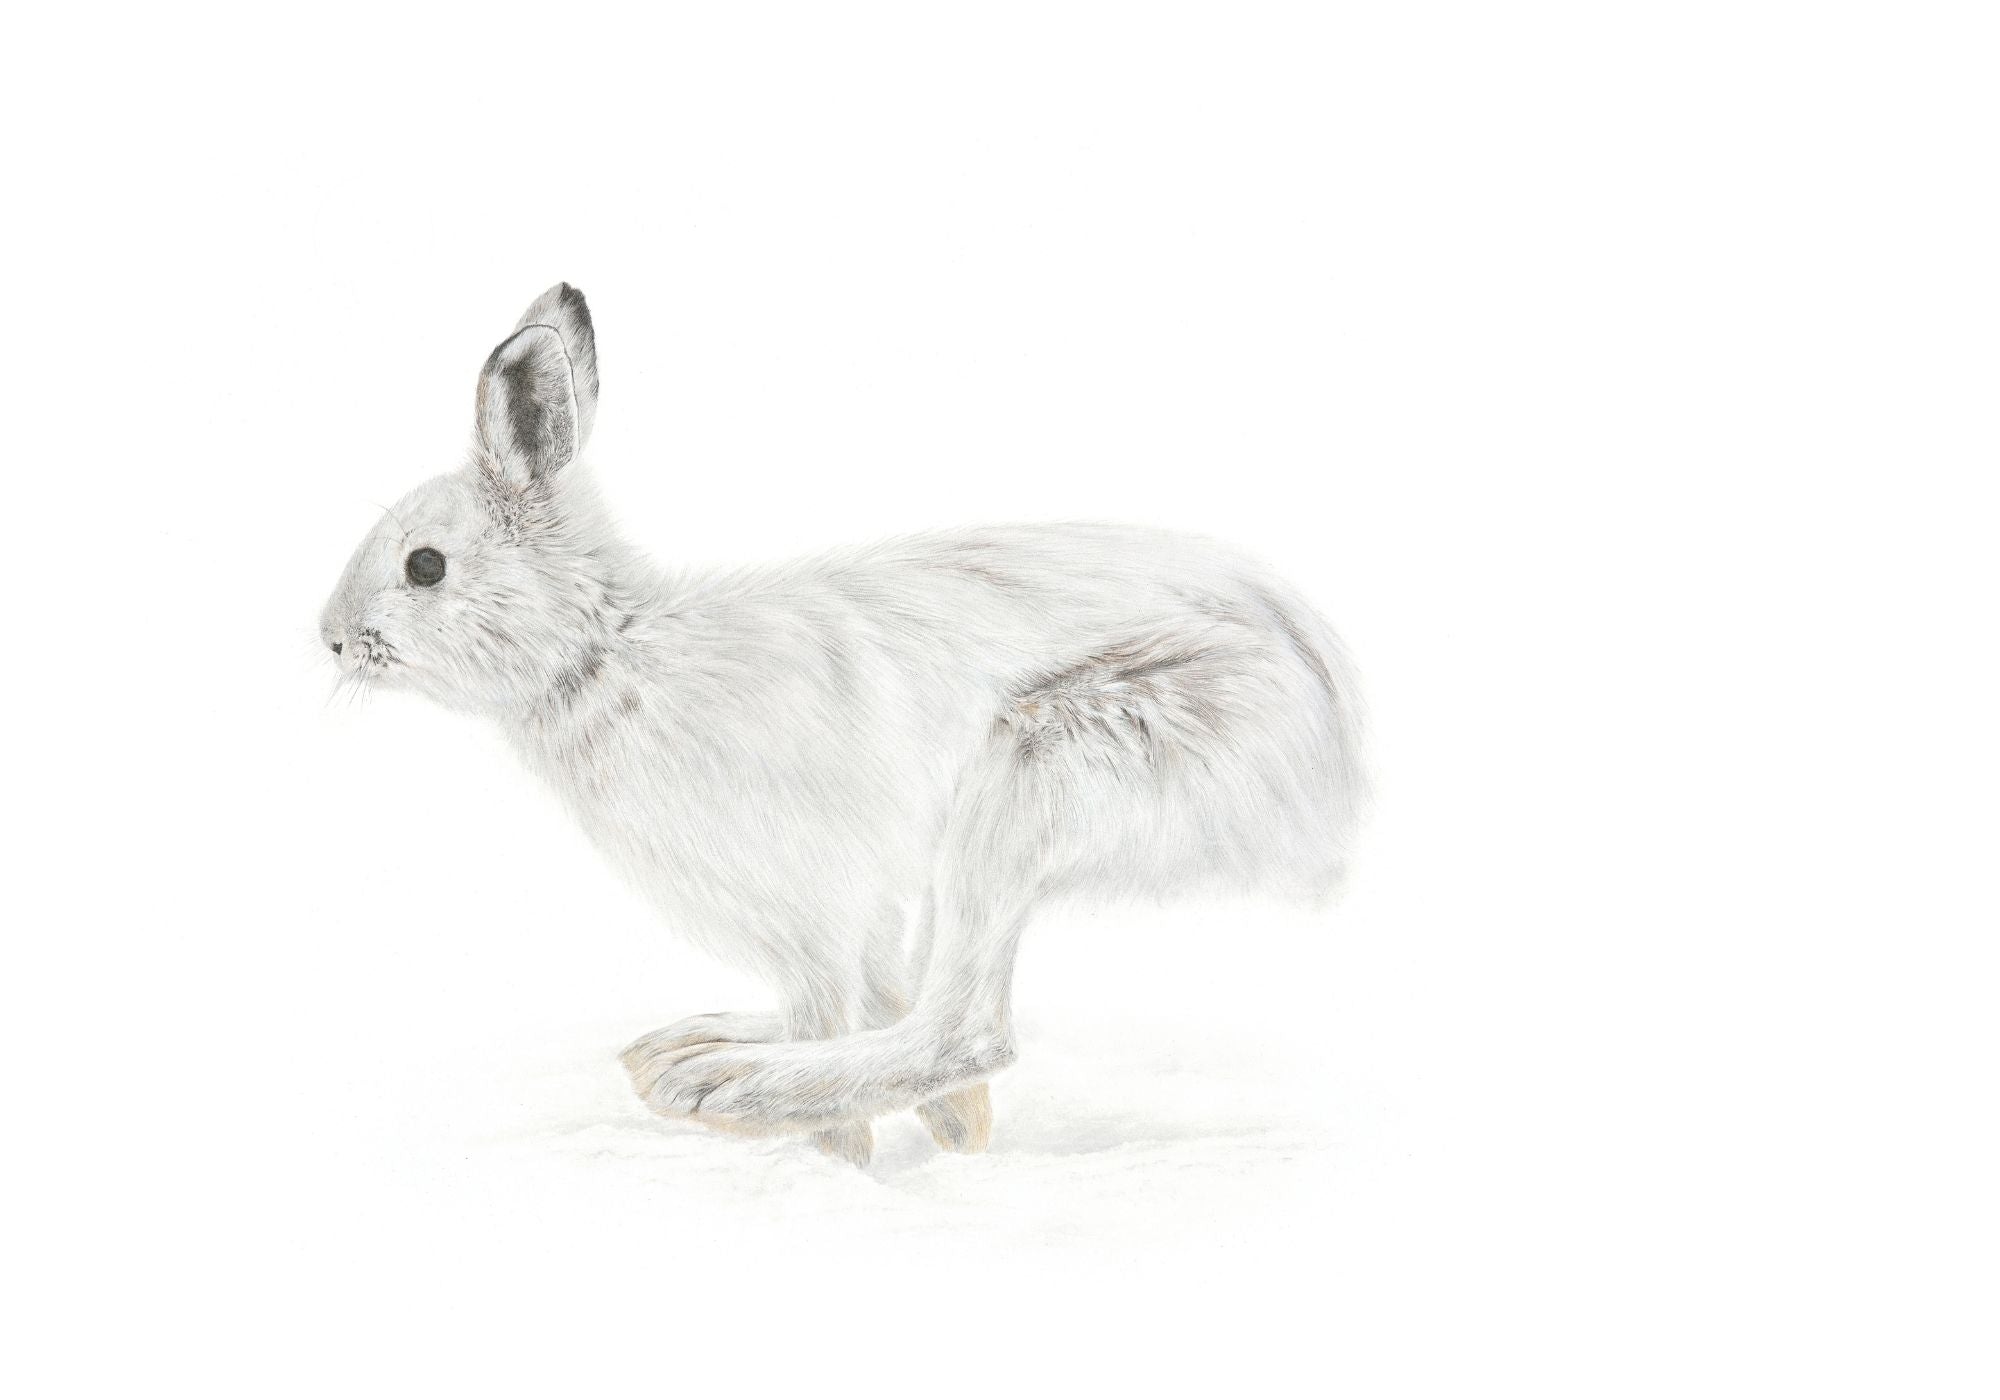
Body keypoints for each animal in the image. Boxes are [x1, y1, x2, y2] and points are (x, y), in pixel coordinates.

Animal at [320, 284, 1370, 1167]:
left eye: (424, 566)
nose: (329, 639)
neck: (604, 654)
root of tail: (1340, 789)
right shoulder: (850, 921)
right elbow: (862, 1000)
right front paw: (949, 1136)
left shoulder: (811, 905)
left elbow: (839, 1014)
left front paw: (841, 1165)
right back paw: (686, 1052)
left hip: (1047, 759)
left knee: (966, 1029)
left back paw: (719, 1088)